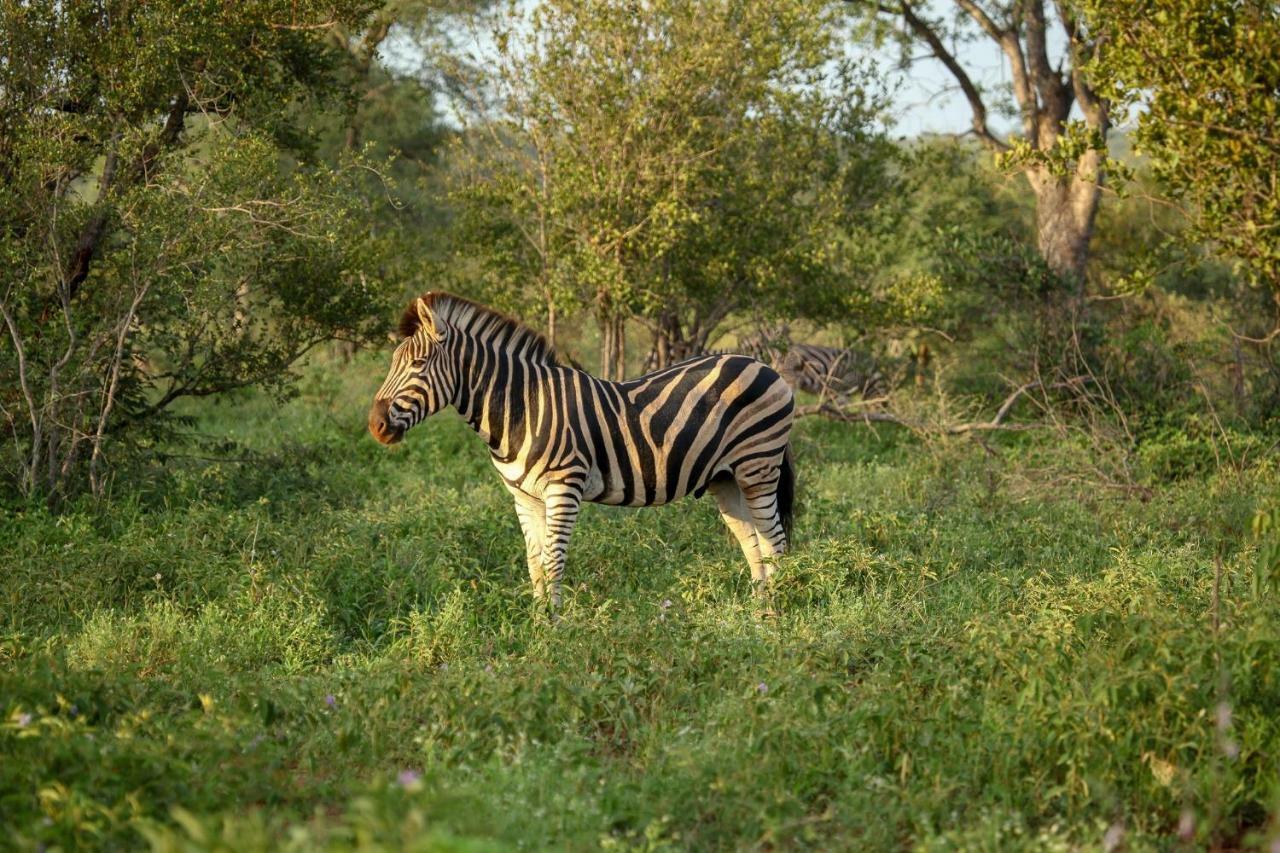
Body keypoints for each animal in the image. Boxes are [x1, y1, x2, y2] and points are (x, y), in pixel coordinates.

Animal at [366, 294, 793, 612]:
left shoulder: (563, 487)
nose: (375, 425)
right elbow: (535, 564)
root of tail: (764, 365)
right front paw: (538, 626)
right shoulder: (524, 497)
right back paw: (758, 612)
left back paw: (779, 615)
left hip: (758, 465)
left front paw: (557, 633)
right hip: (725, 478)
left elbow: (553, 562)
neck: (523, 407)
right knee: (754, 544)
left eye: (418, 363)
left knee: (776, 541)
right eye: (392, 363)